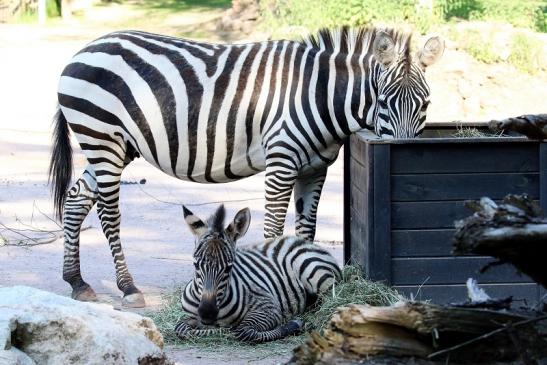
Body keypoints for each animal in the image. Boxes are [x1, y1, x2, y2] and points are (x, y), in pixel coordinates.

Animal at [50, 25, 446, 306]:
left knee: (76, 199)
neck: (320, 95)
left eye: (425, 103)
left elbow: (306, 230)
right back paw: (128, 287)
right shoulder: (281, 160)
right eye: (385, 101)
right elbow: (273, 228)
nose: (405, 153)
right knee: (107, 213)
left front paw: (311, 293)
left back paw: (77, 282)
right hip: (103, 138)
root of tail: (87, 46)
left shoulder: (315, 168)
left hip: (113, 145)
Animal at [176, 205, 340, 342]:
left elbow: (243, 331)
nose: (207, 314)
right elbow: (181, 328)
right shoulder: (188, 316)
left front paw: (294, 325)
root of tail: (301, 241)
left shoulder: (268, 307)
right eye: (196, 265)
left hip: (317, 275)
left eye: (229, 268)